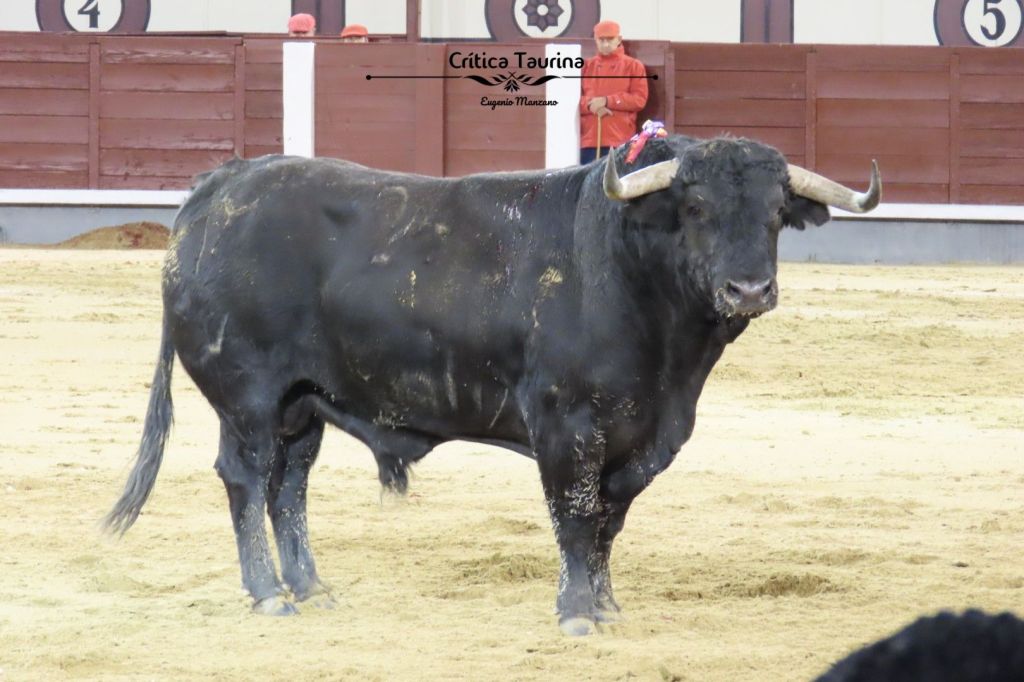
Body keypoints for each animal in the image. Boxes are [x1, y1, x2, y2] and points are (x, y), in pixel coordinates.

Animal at [105, 134, 880, 635]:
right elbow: (575, 516)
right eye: (694, 208)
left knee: (287, 487)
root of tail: (224, 184)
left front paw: (607, 606)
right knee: (245, 478)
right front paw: (576, 614)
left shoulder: (641, 438)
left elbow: (609, 523)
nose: (748, 289)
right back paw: (270, 595)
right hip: (249, 398)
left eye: (777, 212)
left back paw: (312, 588)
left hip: (304, 405)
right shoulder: (567, 425)